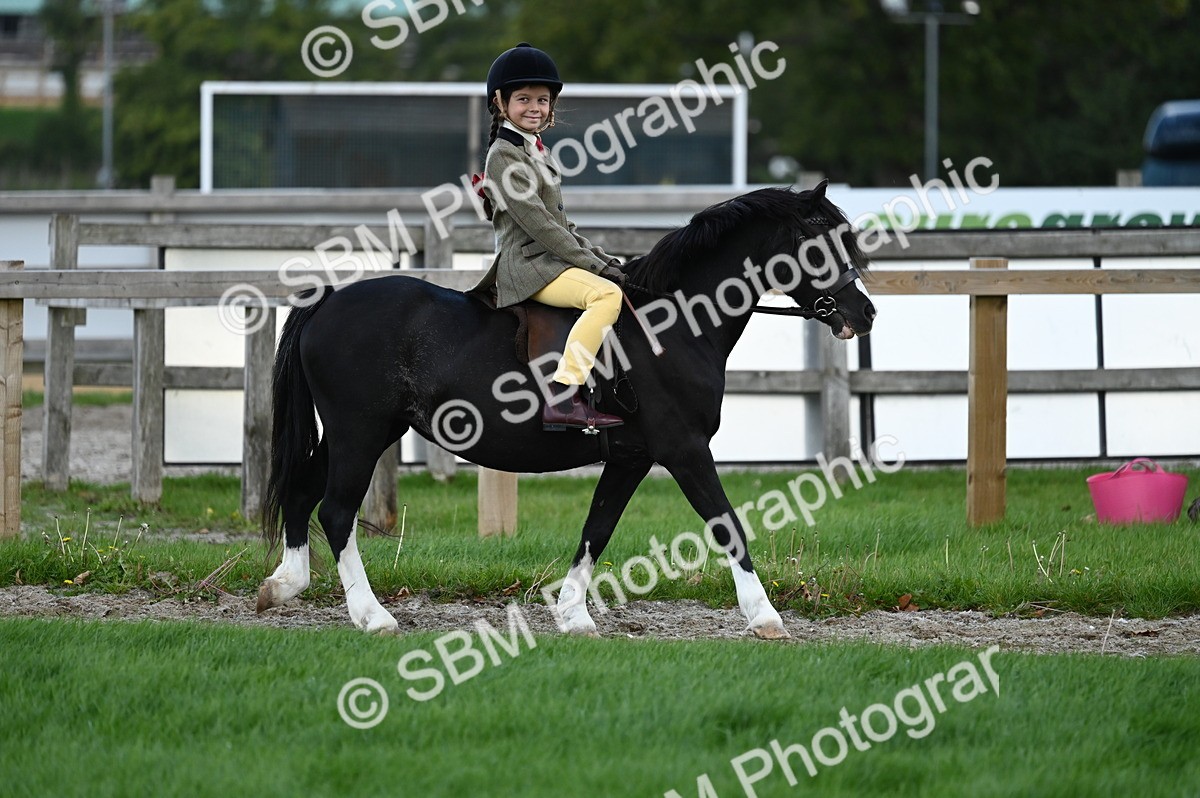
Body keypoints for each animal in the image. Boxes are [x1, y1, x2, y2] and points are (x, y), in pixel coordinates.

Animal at [256, 180, 876, 638]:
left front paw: (573, 615)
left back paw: (283, 585)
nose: (864, 314)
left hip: (356, 433)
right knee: (336, 511)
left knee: (304, 493)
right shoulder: (684, 449)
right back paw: (373, 617)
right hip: (360, 432)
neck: (673, 323)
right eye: (820, 242)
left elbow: (596, 528)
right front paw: (765, 616)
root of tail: (330, 299)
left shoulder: (631, 456)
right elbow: (727, 522)